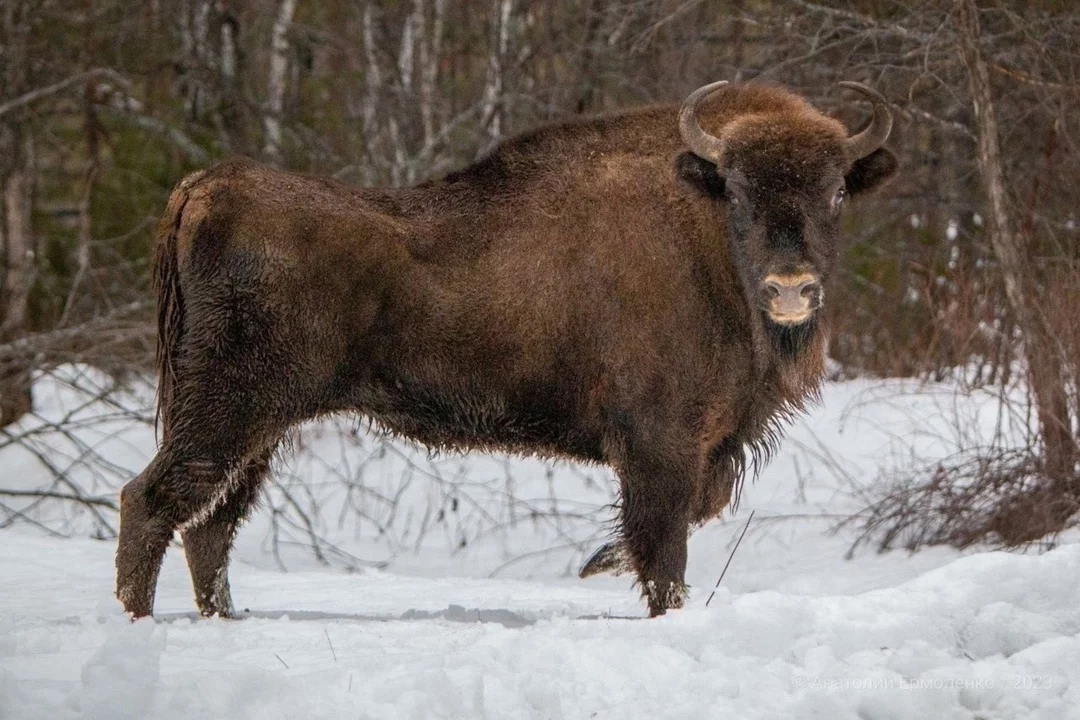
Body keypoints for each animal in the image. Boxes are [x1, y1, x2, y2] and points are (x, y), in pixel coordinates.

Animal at [116, 80, 894, 621]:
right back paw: (139, 625)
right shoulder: (659, 446)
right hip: (228, 412)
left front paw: (599, 563)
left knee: (209, 527)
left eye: (835, 191)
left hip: (258, 428)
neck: (702, 227)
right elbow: (664, 551)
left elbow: (688, 520)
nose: (790, 287)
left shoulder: (704, 450)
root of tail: (207, 188)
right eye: (735, 189)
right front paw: (618, 581)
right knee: (152, 502)